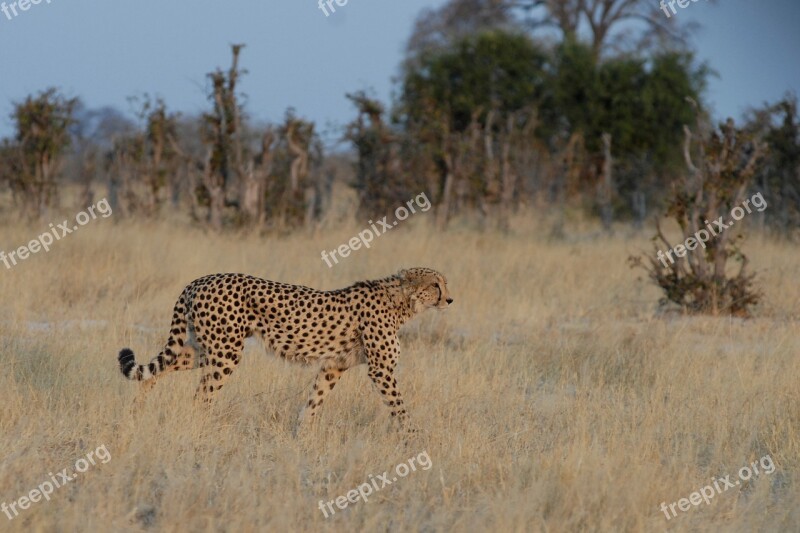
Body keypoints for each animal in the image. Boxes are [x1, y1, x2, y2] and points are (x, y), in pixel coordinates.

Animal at [116, 268, 454, 430]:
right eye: (435, 285)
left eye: (444, 283)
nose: (450, 299)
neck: (402, 303)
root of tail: (200, 280)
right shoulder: (381, 370)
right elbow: (400, 407)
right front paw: (414, 439)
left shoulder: (333, 366)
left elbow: (314, 402)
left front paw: (300, 435)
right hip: (225, 352)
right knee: (201, 396)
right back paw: (203, 428)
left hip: (203, 348)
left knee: (158, 369)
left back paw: (136, 408)